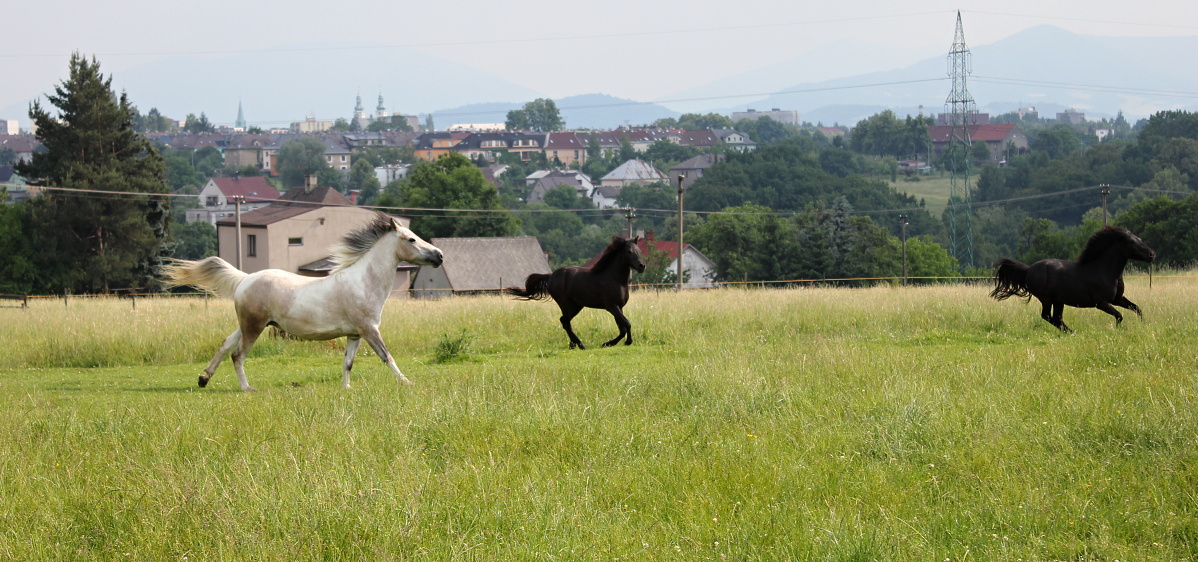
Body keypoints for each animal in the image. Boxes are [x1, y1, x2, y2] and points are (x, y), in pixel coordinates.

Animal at [158, 212, 440, 393]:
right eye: (411, 239)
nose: (439, 256)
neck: (363, 281)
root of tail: (245, 279)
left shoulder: (355, 334)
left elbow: (348, 363)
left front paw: (346, 389)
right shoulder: (369, 330)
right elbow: (386, 356)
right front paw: (406, 383)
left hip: (249, 324)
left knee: (226, 344)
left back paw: (203, 378)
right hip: (254, 327)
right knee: (238, 354)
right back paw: (247, 388)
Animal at [510, 234, 651, 347]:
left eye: (638, 251)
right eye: (628, 251)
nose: (642, 266)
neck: (615, 278)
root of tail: (551, 276)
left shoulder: (619, 307)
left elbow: (622, 328)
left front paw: (609, 343)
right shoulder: (611, 306)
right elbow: (627, 323)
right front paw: (625, 342)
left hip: (576, 306)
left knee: (564, 321)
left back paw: (573, 344)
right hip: (565, 304)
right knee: (565, 322)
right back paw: (580, 344)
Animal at [987, 222, 1154, 330]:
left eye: (1139, 239)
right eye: (1132, 241)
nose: (1152, 254)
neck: (1105, 270)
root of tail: (1028, 270)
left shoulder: (1117, 299)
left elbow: (1137, 309)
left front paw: (1143, 324)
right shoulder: (1101, 303)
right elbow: (1119, 315)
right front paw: (1120, 329)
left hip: (1058, 301)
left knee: (1056, 318)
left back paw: (1071, 332)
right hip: (1046, 299)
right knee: (1048, 316)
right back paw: (1071, 332)